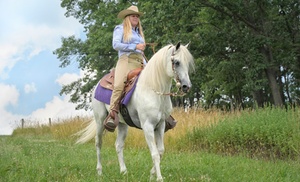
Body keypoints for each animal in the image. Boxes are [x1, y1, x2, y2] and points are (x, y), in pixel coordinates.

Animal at [76, 42, 196, 181]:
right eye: (176, 62)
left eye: (188, 63)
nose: (186, 86)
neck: (152, 88)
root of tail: (98, 84)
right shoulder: (147, 126)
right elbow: (155, 153)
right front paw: (159, 178)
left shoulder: (160, 125)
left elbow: (160, 151)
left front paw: (152, 174)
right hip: (100, 121)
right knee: (98, 143)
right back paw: (100, 172)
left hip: (122, 124)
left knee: (118, 145)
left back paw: (124, 172)